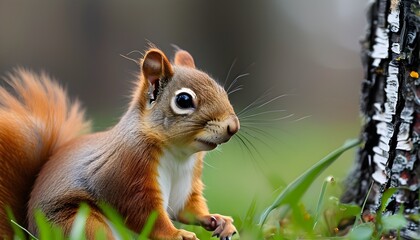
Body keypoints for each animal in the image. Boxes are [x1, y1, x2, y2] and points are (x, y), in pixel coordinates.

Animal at [0, 47, 240, 239]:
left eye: (221, 89)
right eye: (183, 100)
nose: (233, 127)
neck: (178, 154)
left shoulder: (186, 183)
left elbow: (188, 208)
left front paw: (218, 220)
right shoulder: (127, 175)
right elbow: (146, 215)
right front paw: (178, 234)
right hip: (82, 223)